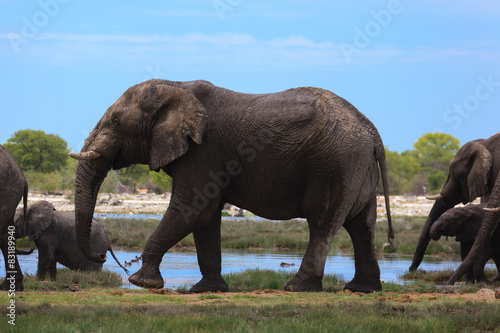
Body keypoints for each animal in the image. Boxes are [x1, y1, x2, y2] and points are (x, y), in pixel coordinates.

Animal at [70, 79, 392, 292]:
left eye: (115, 122)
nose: (102, 255)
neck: (176, 86)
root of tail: (372, 131)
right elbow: (205, 218)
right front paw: (208, 289)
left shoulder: (202, 152)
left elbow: (191, 210)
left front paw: (142, 282)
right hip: (356, 167)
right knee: (362, 225)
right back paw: (362, 289)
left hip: (335, 164)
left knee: (324, 223)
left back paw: (296, 287)